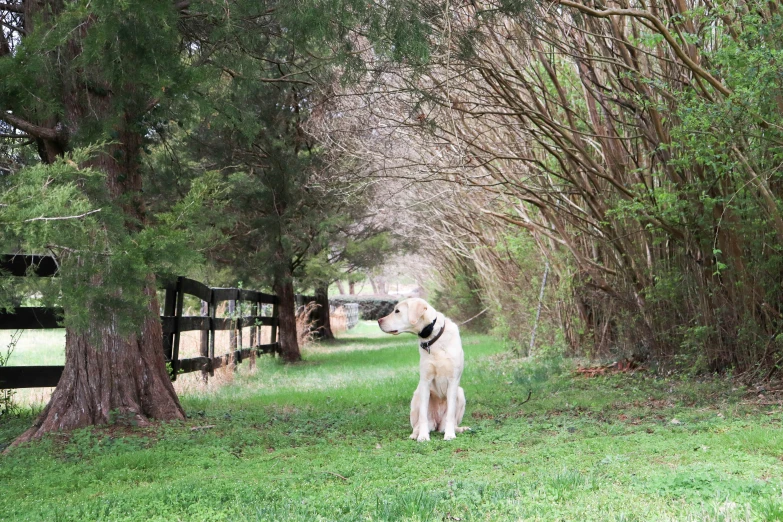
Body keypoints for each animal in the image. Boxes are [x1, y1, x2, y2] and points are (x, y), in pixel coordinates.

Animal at [376, 296, 468, 438]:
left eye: (397, 311)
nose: (378, 320)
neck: (433, 337)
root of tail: (437, 424)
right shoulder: (425, 381)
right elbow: (423, 415)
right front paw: (423, 436)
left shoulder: (453, 381)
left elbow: (450, 414)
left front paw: (449, 435)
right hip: (416, 396)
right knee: (417, 424)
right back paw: (416, 434)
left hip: (460, 393)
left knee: (452, 421)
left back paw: (457, 429)